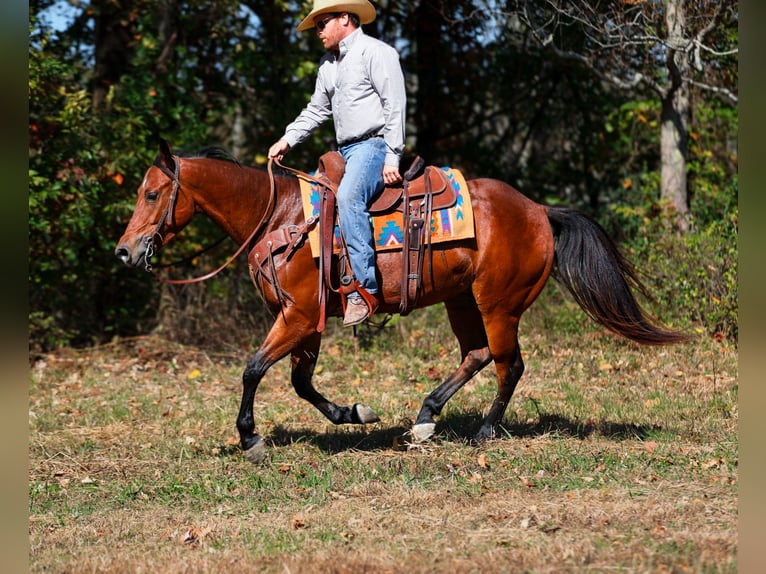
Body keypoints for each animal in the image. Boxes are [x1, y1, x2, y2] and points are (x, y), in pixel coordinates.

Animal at [115, 139, 687, 464]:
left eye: (151, 194)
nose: (124, 251)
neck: (280, 217)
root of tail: (539, 210)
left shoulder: (296, 317)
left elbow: (254, 369)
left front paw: (250, 439)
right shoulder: (307, 322)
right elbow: (301, 383)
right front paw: (353, 413)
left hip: (499, 304)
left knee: (509, 363)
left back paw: (484, 430)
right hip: (461, 301)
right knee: (477, 355)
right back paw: (425, 420)